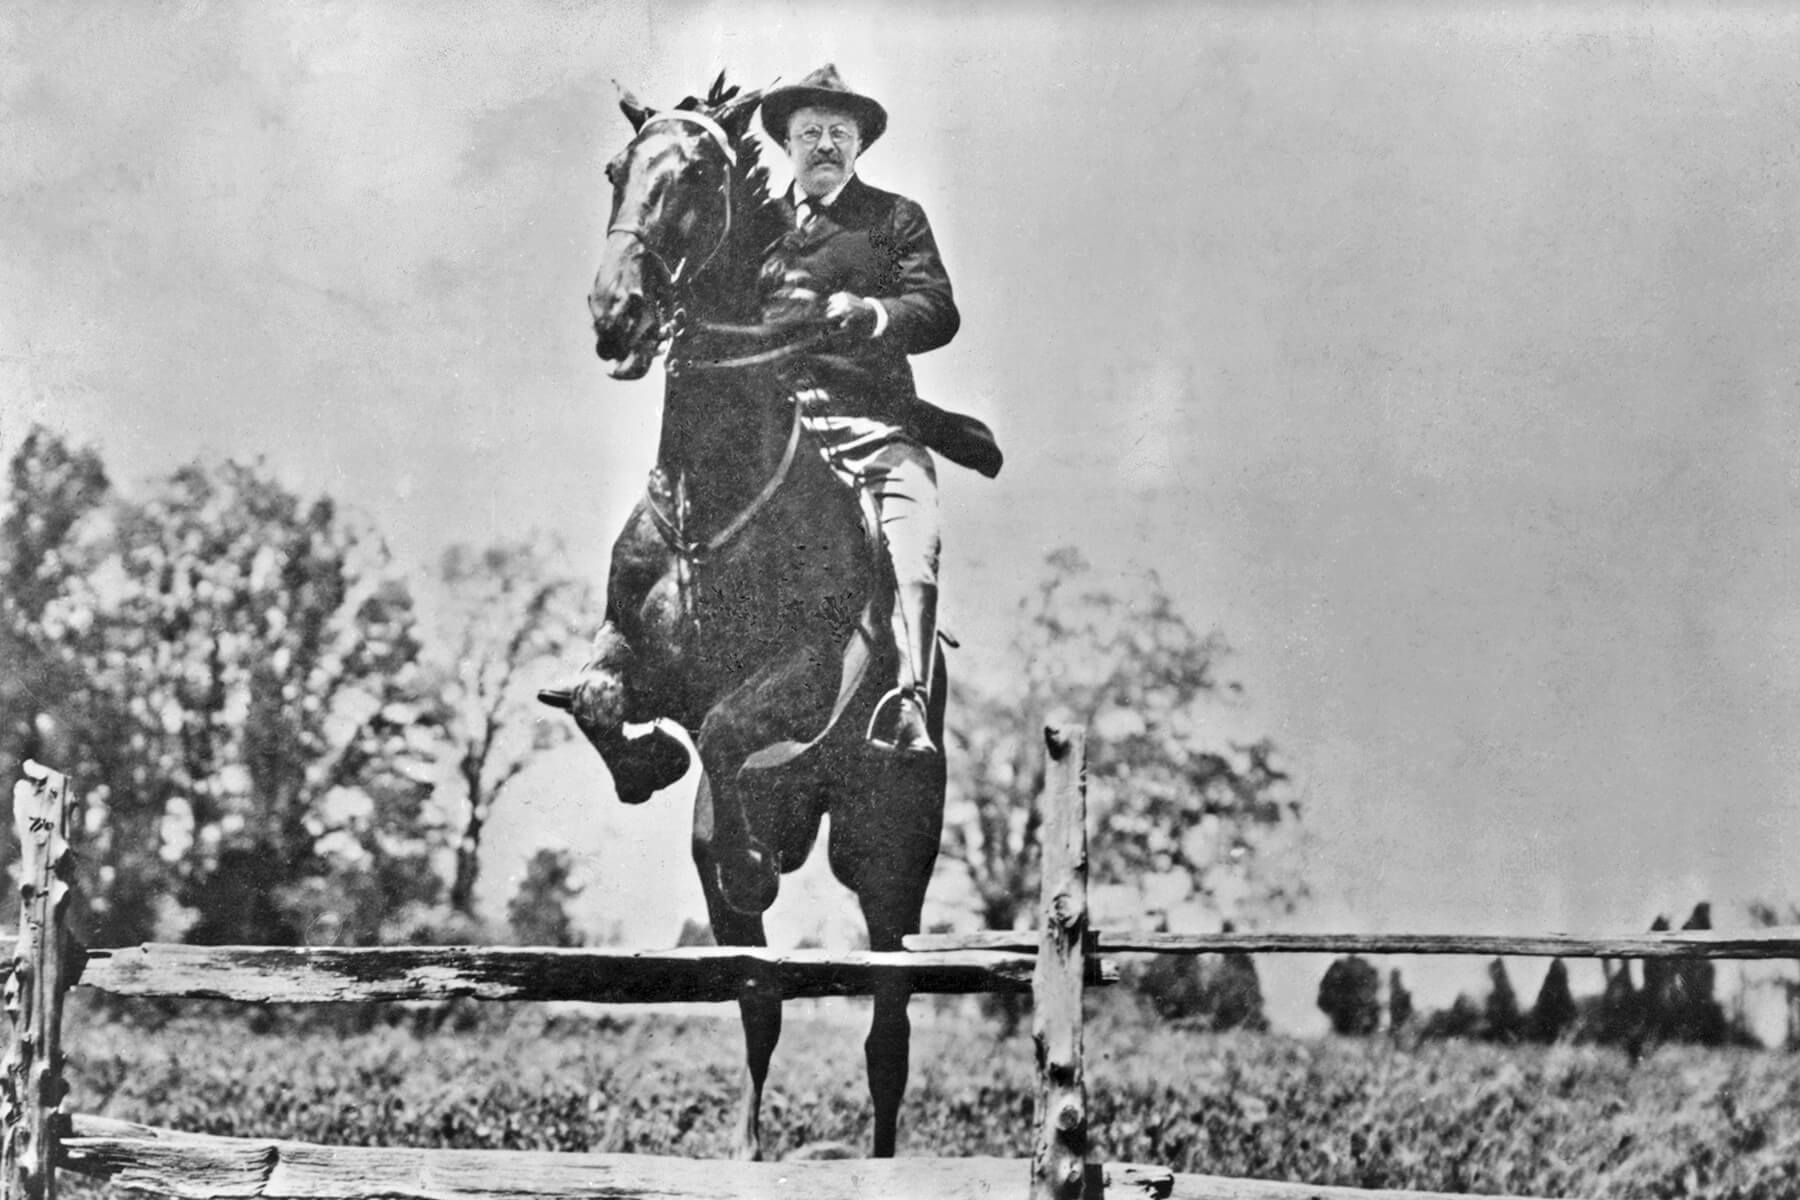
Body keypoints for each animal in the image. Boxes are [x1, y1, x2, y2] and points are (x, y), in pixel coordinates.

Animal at [547, 75, 947, 1161]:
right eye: (617, 169)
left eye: (697, 174)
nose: (616, 313)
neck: (712, 498)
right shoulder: (634, 655)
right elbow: (599, 698)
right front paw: (648, 765)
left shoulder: (808, 673)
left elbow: (730, 725)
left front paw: (754, 861)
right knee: (758, 997)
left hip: (889, 857)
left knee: (888, 1026)